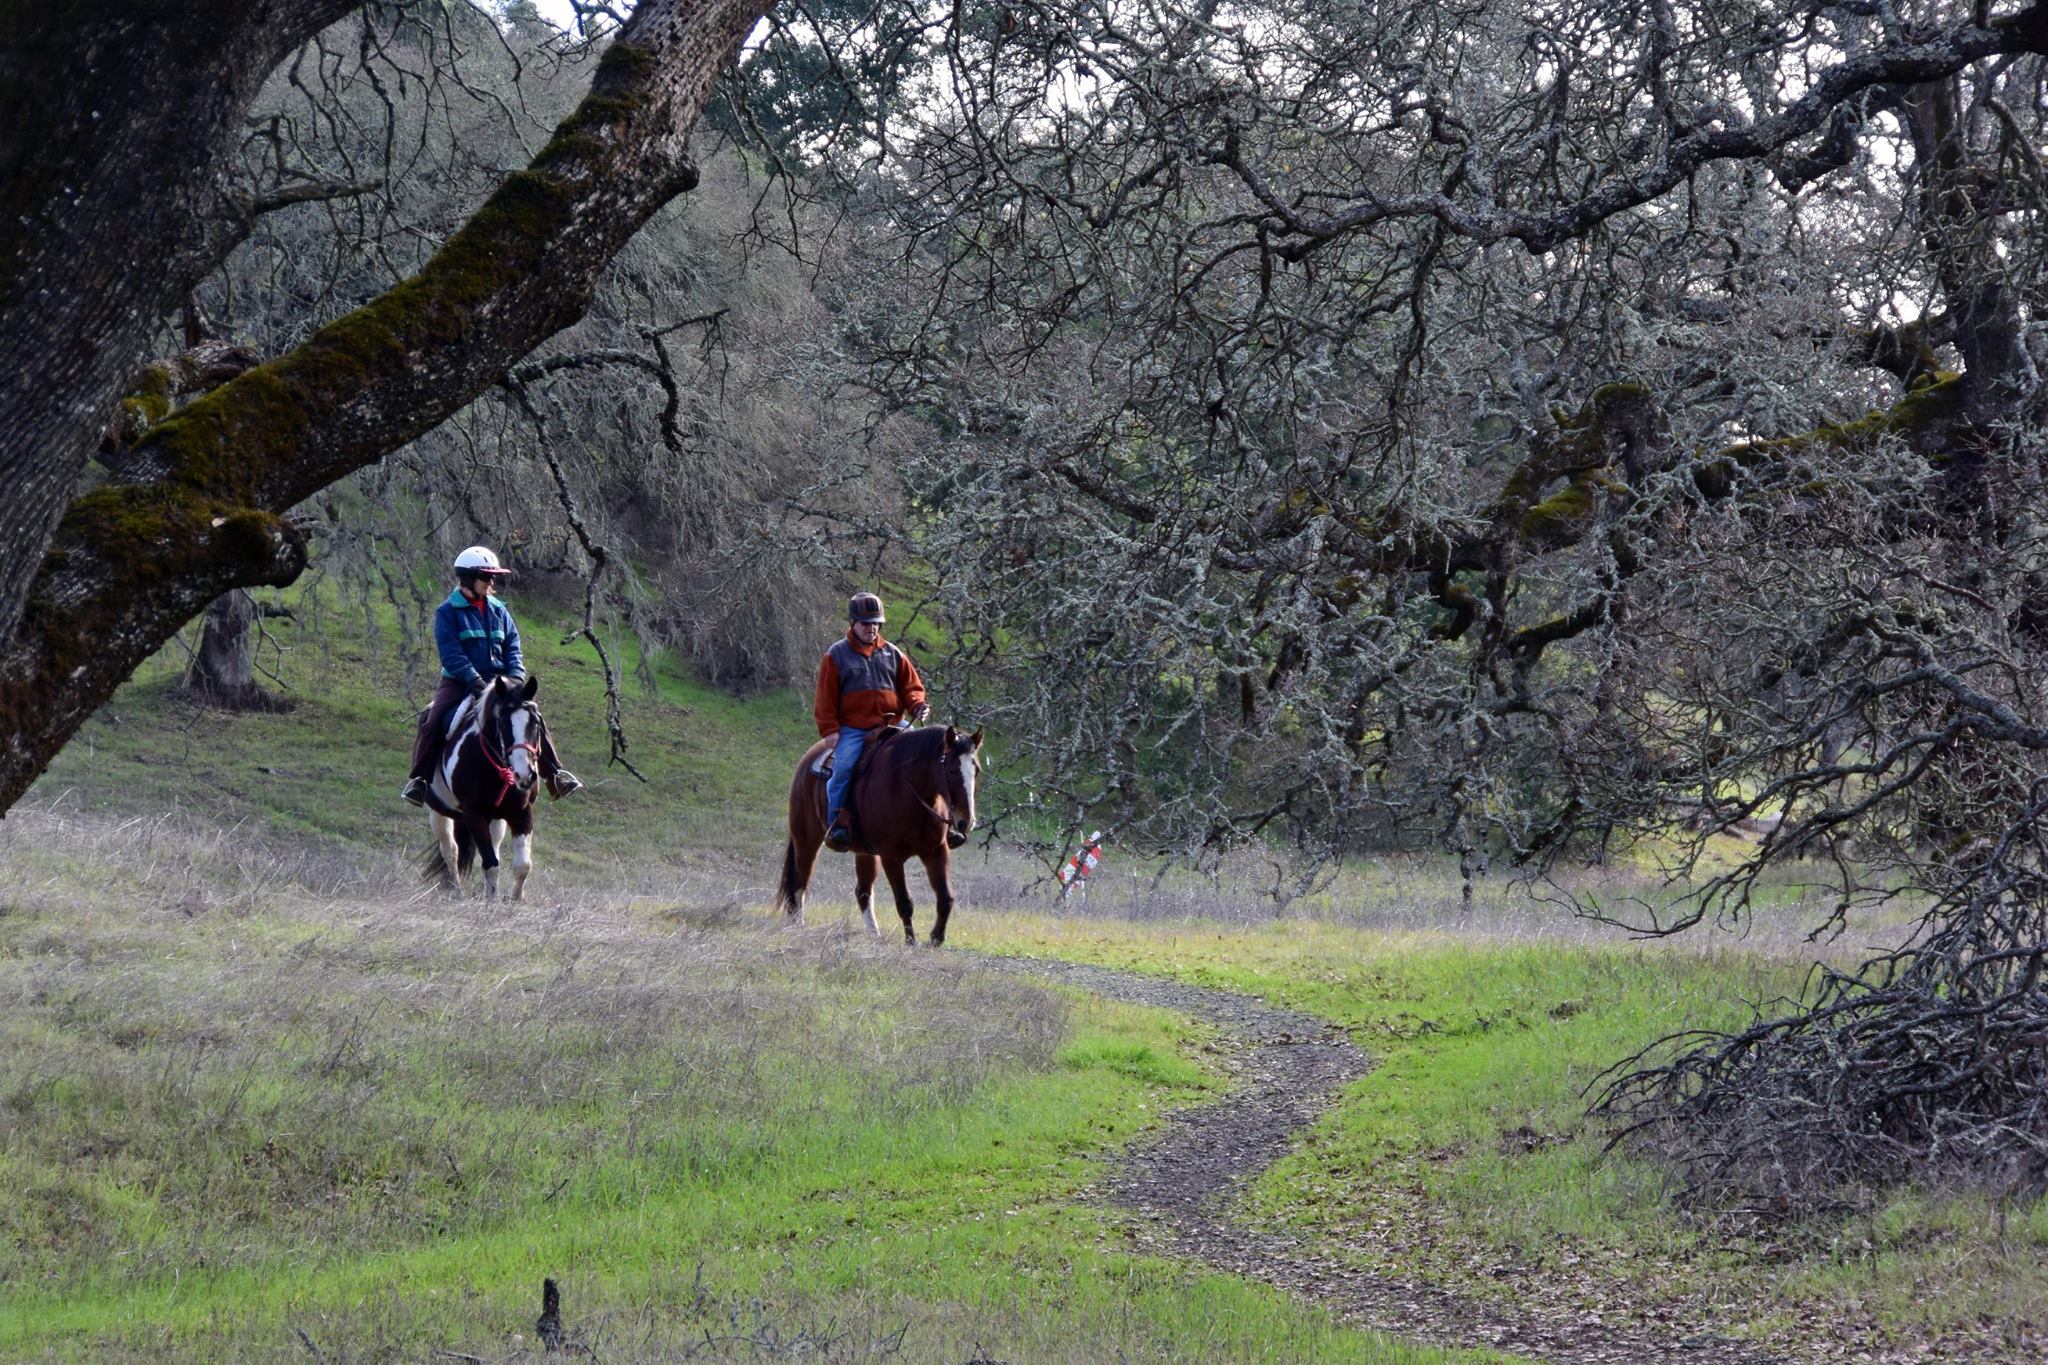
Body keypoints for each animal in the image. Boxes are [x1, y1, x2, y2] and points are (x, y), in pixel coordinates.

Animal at [421, 679, 544, 900]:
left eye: (536, 723)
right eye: (503, 723)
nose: (524, 775)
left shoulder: (521, 811)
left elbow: (522, 865)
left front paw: (515, 899)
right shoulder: (474, 814)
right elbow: (491, 864)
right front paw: (492, 900)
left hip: (496, 818)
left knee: (492, 847)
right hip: (438, 811)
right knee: (450, 851)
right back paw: (456, 890)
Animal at [774, 724, 983, 941]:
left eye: (976, 770)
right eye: (951, 770)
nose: (966, 821)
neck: (907, 790)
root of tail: (807, 759)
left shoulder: (936, 851)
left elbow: (945, 898)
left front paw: (936, 938)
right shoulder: (891, 857)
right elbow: (904, 902)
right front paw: (911, 941)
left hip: (865, 852)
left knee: (863, 891)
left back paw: (874, 934)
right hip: (806, 840)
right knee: (800, 881)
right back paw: (798, 924)